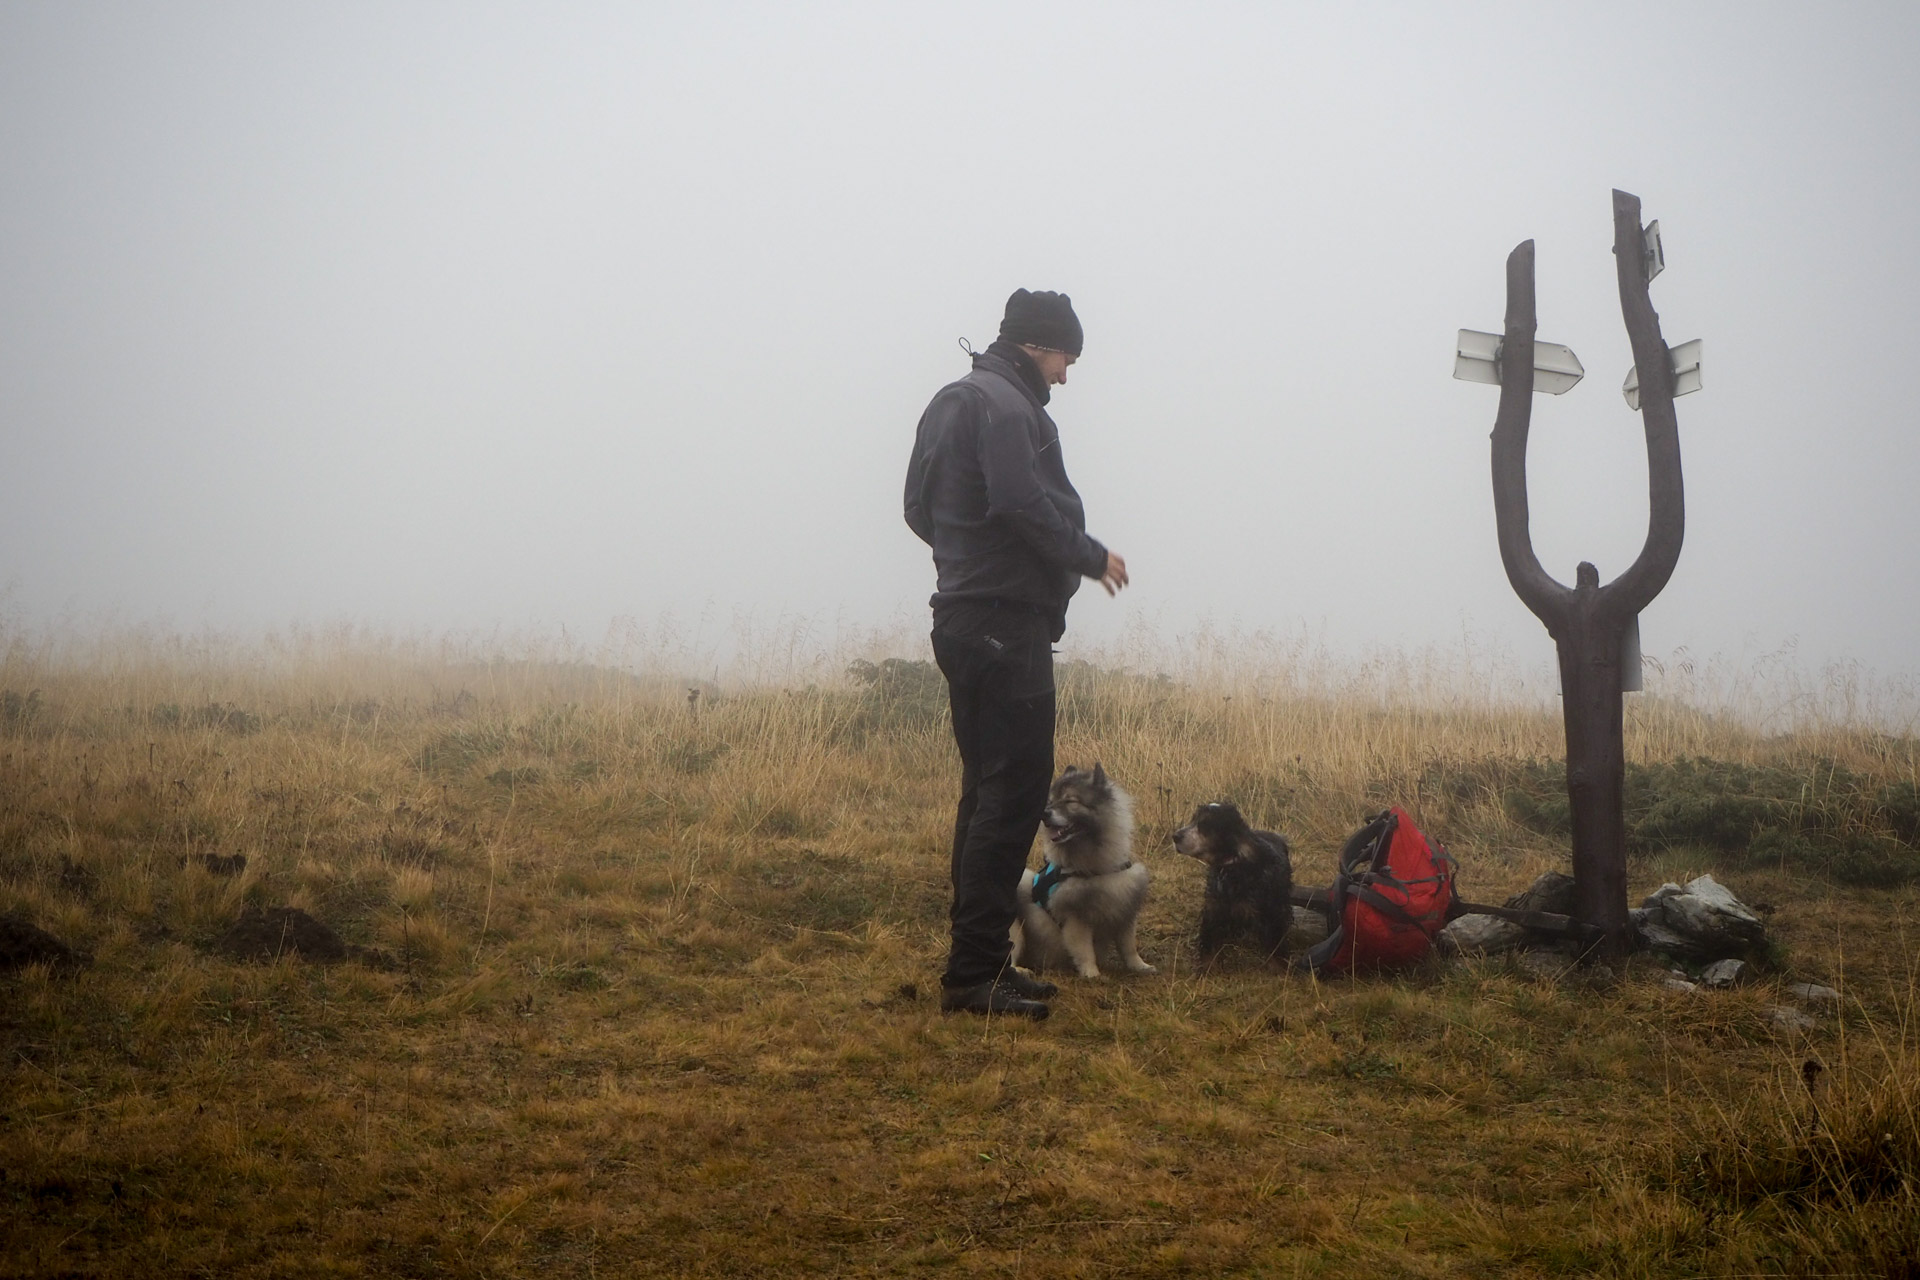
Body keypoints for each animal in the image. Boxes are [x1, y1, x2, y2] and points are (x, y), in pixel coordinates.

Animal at [1006, 759, 1152, 982]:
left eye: (1069, 801)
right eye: (1050, 802)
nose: (1044, 814)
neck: (1098, 869)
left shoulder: (1125, 911)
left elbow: (1129, 947)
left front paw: (1140, 966)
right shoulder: (1076, 920)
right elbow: (1084, 950)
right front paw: (1092, 973)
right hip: (1015, 927)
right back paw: (1021, 971)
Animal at [1167, 802, 1290, 959]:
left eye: (1205, 824)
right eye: (1192, 820)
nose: (1175, 836)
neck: (1231, 870)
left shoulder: (1272, 919)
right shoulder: (1213, 913)